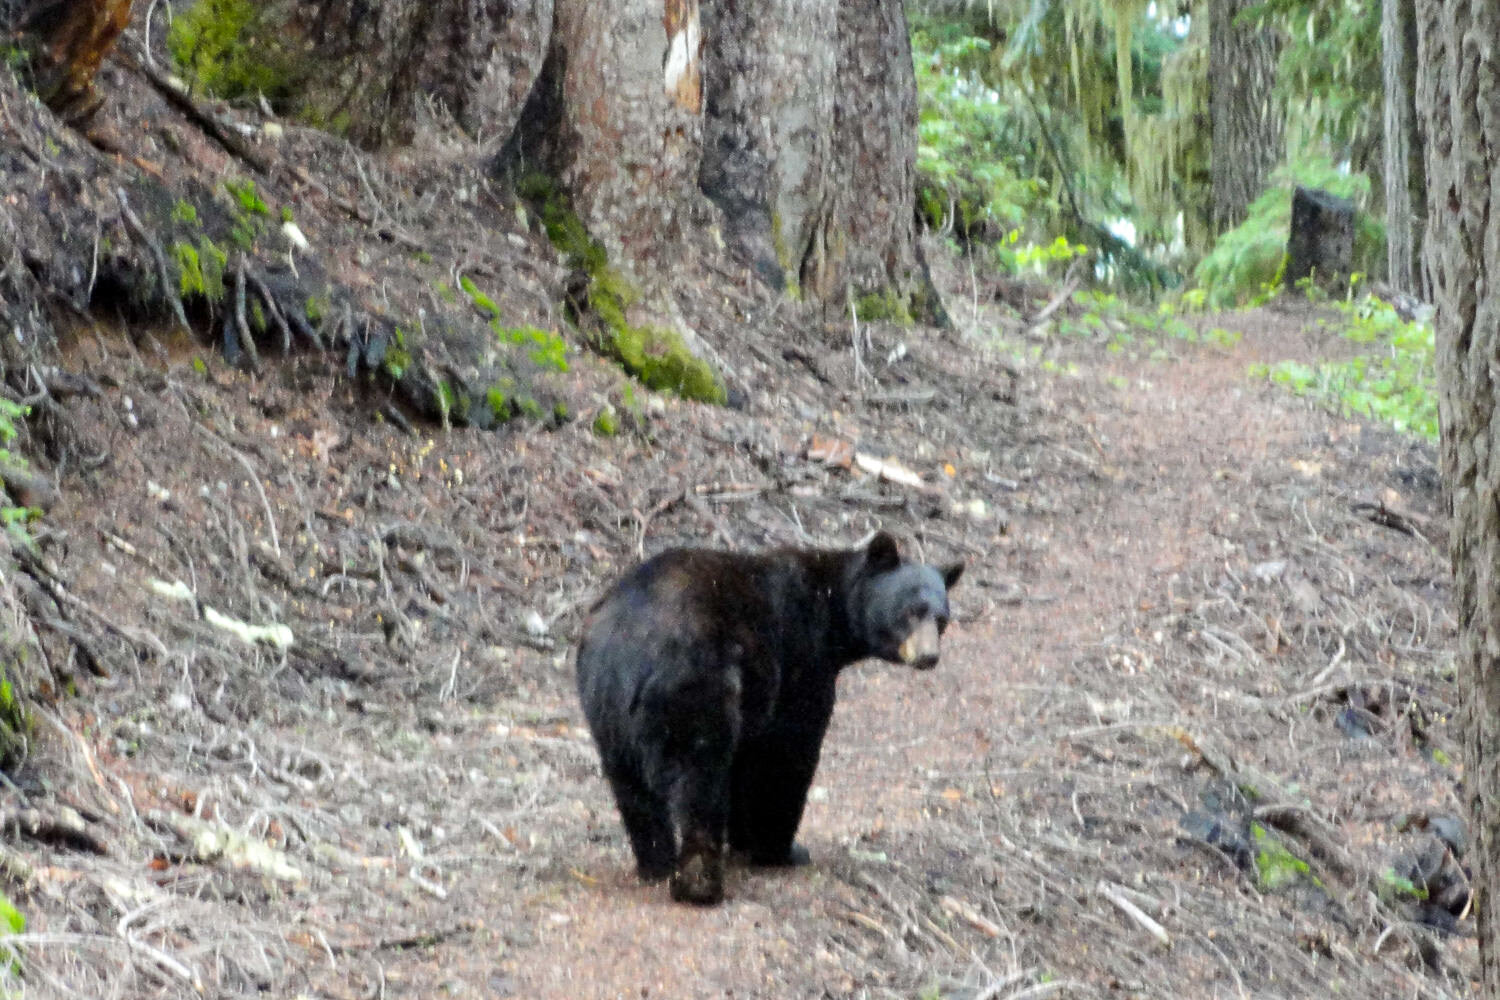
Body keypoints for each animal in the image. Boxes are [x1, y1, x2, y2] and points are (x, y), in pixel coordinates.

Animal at [573, 530, 960, 905]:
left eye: (941, 619)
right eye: (910, 611)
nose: (929, 657)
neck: (831, 610)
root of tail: (628, 648)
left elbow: (744, 760)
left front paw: (744, 842)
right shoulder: (798, 658)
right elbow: (787, 755)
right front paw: (782, 850)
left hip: (605, 707)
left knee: (631, 787)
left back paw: (656, 865)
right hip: (695, 683)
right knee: (699, 778)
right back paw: (700, 884)